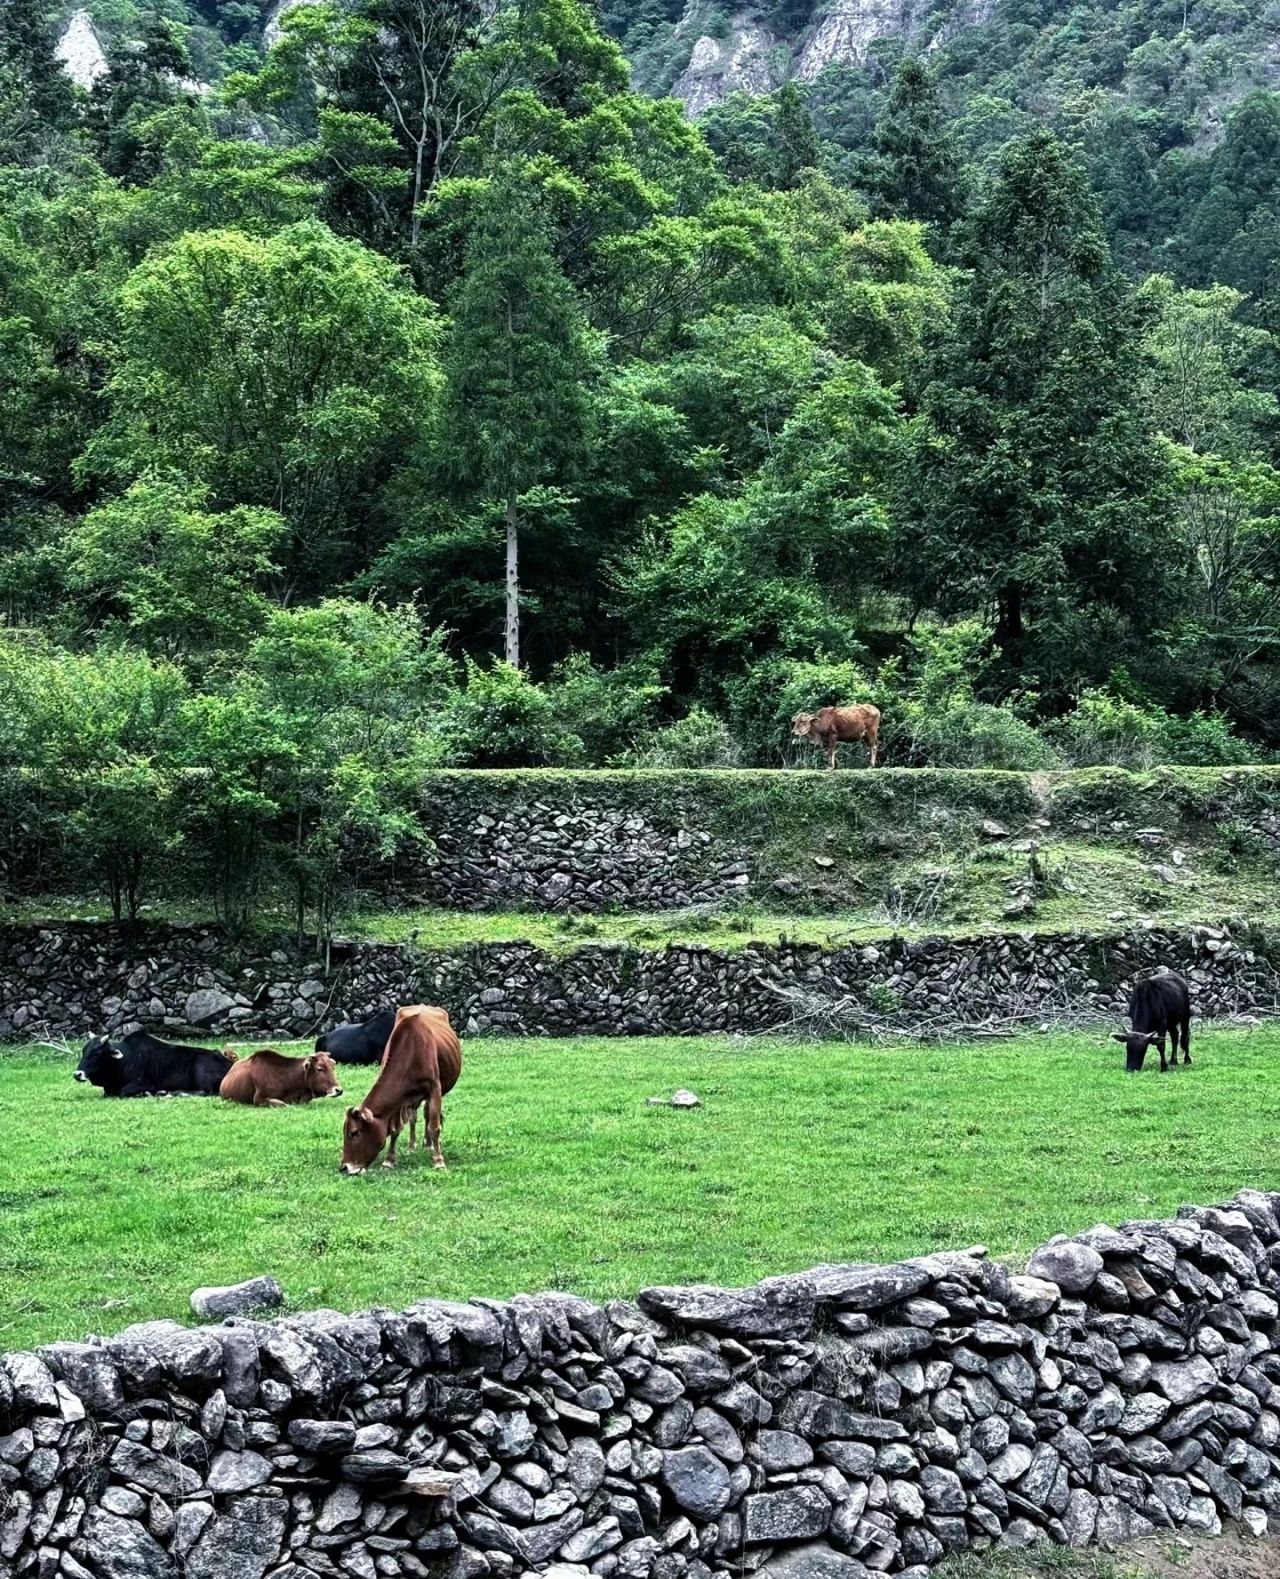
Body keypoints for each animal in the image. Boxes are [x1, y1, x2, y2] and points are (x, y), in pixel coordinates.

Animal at [74, 1035, 236, 1098]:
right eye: (84, 1051)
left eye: (96, 1053)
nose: (77, 1074)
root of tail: (230, 1063)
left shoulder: (145, 1083)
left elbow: (123, 1092)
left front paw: (145, 1093)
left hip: (200, 1069)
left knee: (204, 1092)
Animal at [337, 1010, 464, 1174]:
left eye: (355, 1132)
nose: (344, 1167)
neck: (411, 1051)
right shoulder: (400, 1100)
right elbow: (395, 1129)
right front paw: (389, 1161)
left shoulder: (435, 1088)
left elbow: (434, 1127)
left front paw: (439, 1162)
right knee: (414, 1117)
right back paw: (412, 1146)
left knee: (428, 1114)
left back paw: (429, 1145)